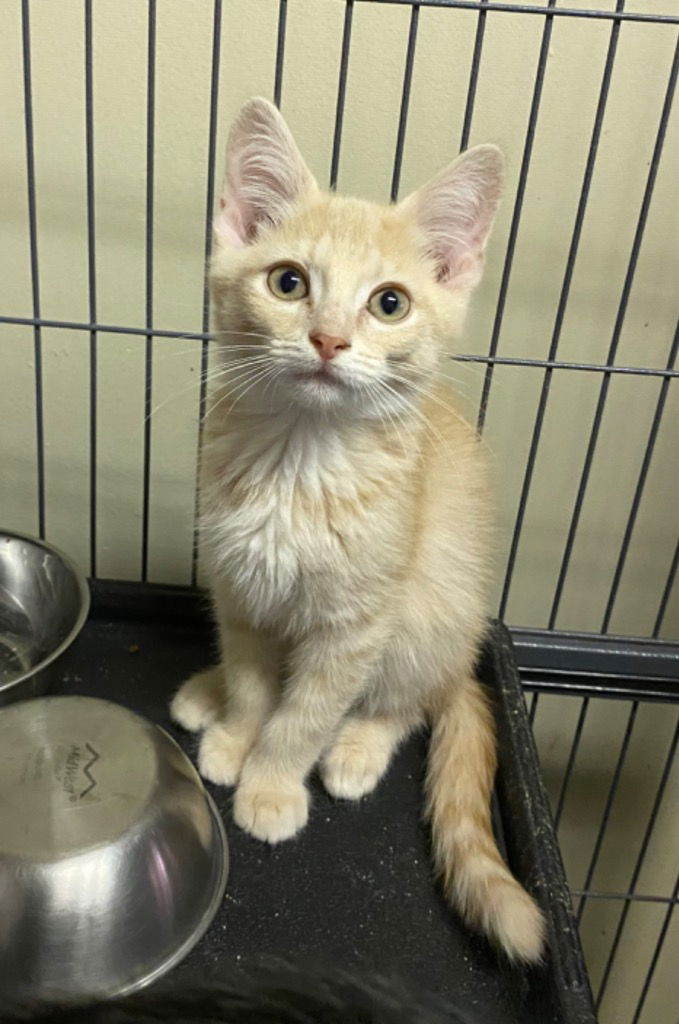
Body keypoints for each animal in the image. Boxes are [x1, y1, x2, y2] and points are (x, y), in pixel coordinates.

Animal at [171, 94, 548, 958]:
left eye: (389, 303)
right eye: (287, 282)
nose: (329, 339)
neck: (299, 465)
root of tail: (467, 657)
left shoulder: (357, 622)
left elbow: (307, 710)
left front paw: (272, 782)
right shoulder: (240, 588)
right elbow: (255, 680)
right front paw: (237, 732)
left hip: (432, 612)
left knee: (409, 700)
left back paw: (358, 746)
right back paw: (206, 695)